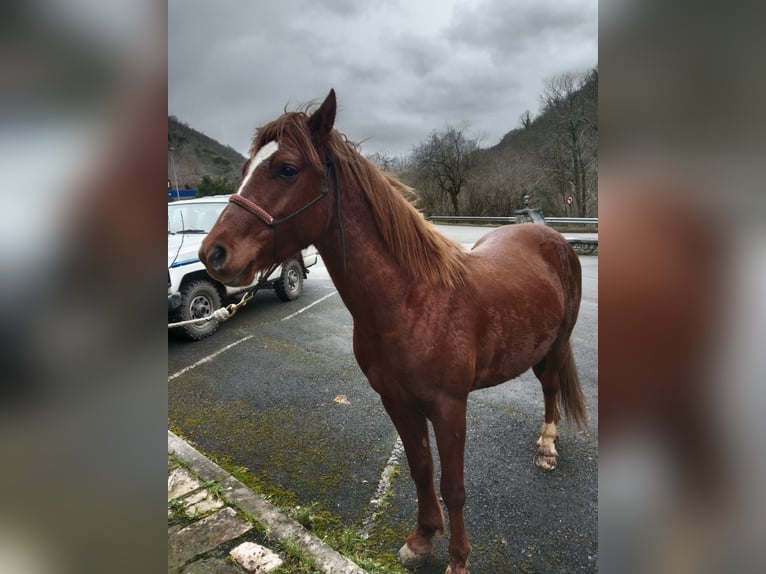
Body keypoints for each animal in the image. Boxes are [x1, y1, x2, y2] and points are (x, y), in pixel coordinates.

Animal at [200, 88, 588, 572]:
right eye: (244, 170)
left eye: (286, 168)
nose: (213, 253)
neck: (410, 300)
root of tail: (553, 239)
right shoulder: (396, 401)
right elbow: (420, 469)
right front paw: (421, 540)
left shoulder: (449, 406)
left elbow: (454, 487)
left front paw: (458, 558)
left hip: (558, 343)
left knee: (551, 388)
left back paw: (548, 447)